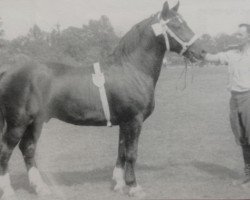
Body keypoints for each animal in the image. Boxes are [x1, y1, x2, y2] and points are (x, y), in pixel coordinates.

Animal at [0, 1, 204, 198]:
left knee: (28, 148)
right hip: (18, 123)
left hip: (35, 122)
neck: (131, 69)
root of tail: (7, 72)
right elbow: (131, 153)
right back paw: (8, 190)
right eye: (176, 25)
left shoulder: (124, 122)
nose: (201, 51)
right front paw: (134, 187)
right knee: (6, 150)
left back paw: (40, 187)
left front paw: (119, 184)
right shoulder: (134, 120)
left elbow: (121, 151)